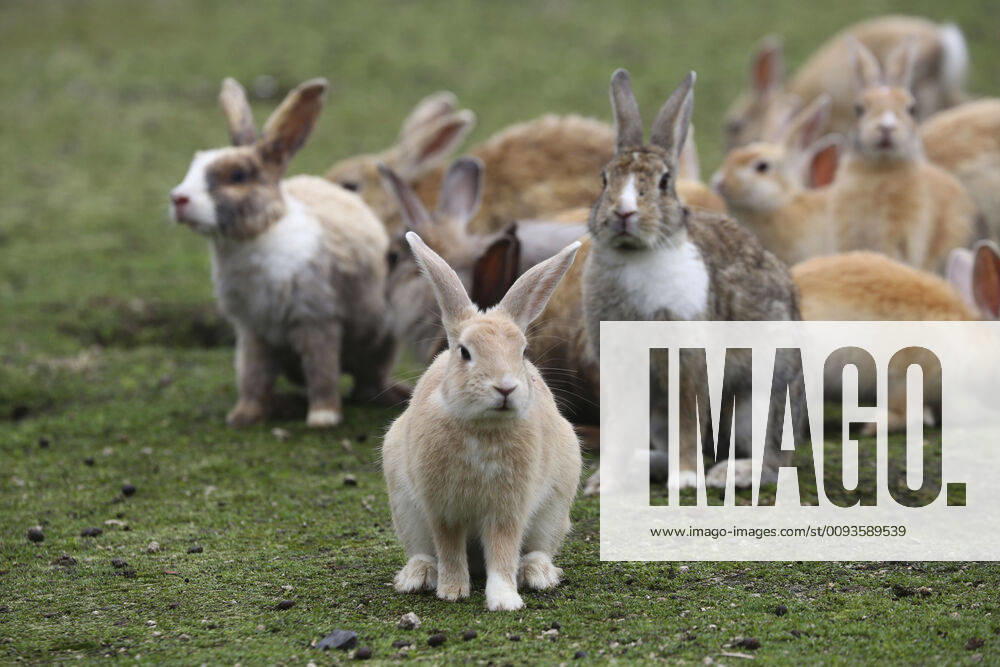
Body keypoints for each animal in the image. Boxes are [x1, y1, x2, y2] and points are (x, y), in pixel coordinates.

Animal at [169, 77, 407, 428]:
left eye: (238, 176)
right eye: (194, 164)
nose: (178, 199)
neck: (258, 235)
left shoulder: (317, 319)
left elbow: (322, 371)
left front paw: (323, 418)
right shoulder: (252, 331)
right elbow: (252, 376)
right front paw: (243, 416)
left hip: (380, 342)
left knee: (367, 380)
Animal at [382, 232, 582, 612]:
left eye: (523, 352)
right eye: (464, 352)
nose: (505, 387)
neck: (482, 429)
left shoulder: (508, 509)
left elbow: (503, 552)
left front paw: (505, 600)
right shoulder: (442, 510)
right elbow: (449, 549)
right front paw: (452, 591)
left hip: (553, 511)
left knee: (536, 550)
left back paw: (538, 574)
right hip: (405, 512)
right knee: (424, 552)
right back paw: (418, 576)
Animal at [583, 69, 801, 490]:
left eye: (665, 182)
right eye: (603, 179)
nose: (623, 213)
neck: (637, 253)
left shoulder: (687, 356)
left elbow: (687, 419)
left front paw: (684, 479)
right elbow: (620, 425)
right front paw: (603, 481)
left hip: (759, 402)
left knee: (771, 459)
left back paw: (727, 473)